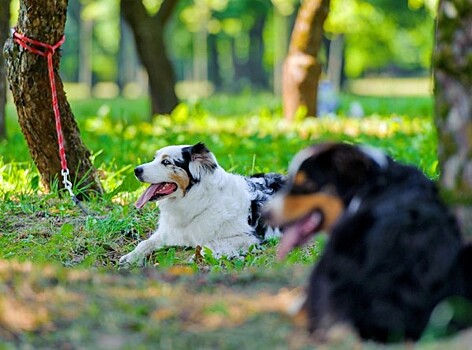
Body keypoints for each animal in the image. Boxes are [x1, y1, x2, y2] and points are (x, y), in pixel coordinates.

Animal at [120, 143, 286, 268]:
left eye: (166, 162)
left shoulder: (249, 238)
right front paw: (130, 257)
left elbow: (209, 244)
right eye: (154, 158)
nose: (136, 170)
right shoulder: (168, 233)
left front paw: (196, 257)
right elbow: (145, 242)